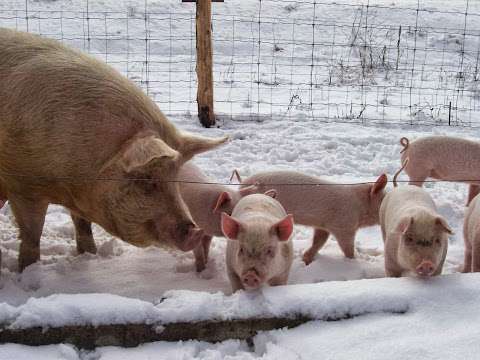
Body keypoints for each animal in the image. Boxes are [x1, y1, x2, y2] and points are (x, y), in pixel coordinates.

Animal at [0, 28, 228, 270]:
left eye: (176, 178)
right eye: (146, 180)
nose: (196, 231)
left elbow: (82, 224)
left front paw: (89, 254)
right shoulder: (23, 184)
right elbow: (32, 234)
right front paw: (27, 268)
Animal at [234, 170, 388, 262]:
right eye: (384, 199)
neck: (360, 207)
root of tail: (242, 184)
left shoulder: (323, 226)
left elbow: (319, 241)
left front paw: (306, 259)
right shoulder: (344, 225)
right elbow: (347, 247)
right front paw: (353, 260)